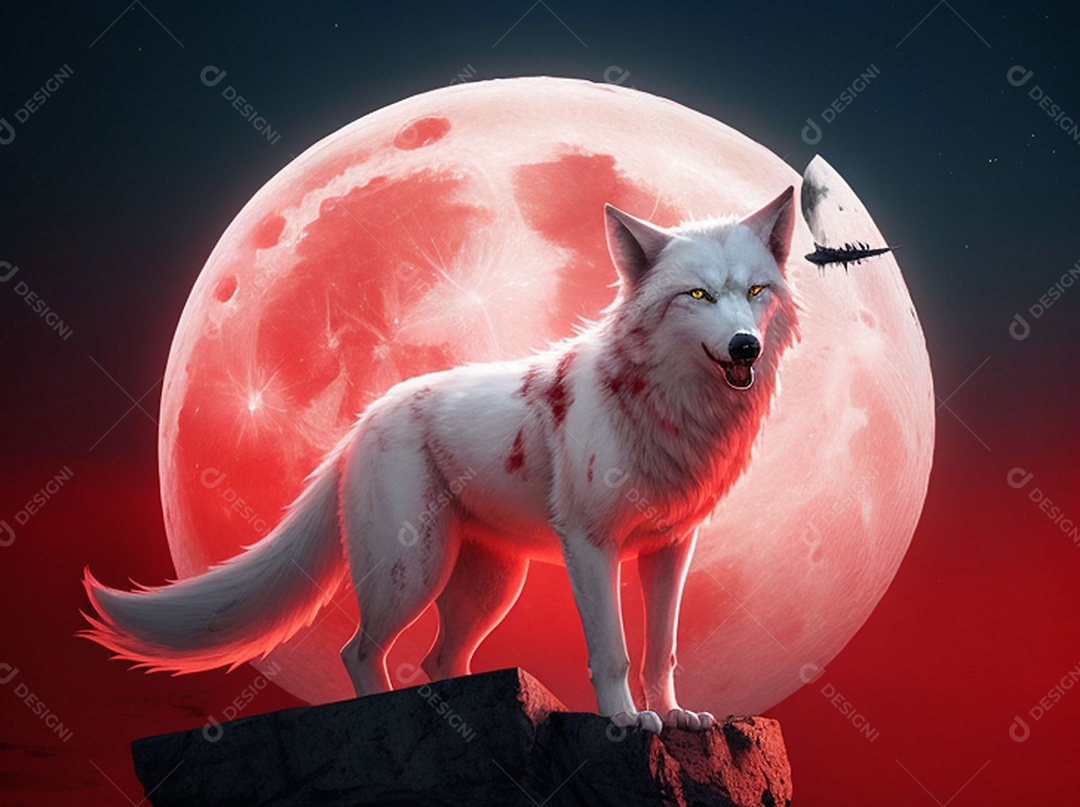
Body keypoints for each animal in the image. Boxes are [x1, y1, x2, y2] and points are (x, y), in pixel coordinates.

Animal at [83, 186, 799, 734]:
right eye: (698, 296)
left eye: (755, 291)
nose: (745, 346)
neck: (671, 410)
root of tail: (362, 422)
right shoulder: (591, 545)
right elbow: (614, 653)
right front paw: (625, 721)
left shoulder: (671, 547)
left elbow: (662, 652)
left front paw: (674, 717)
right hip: (412, 574)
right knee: (358, 652)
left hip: (488, 588)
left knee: (437, 663)